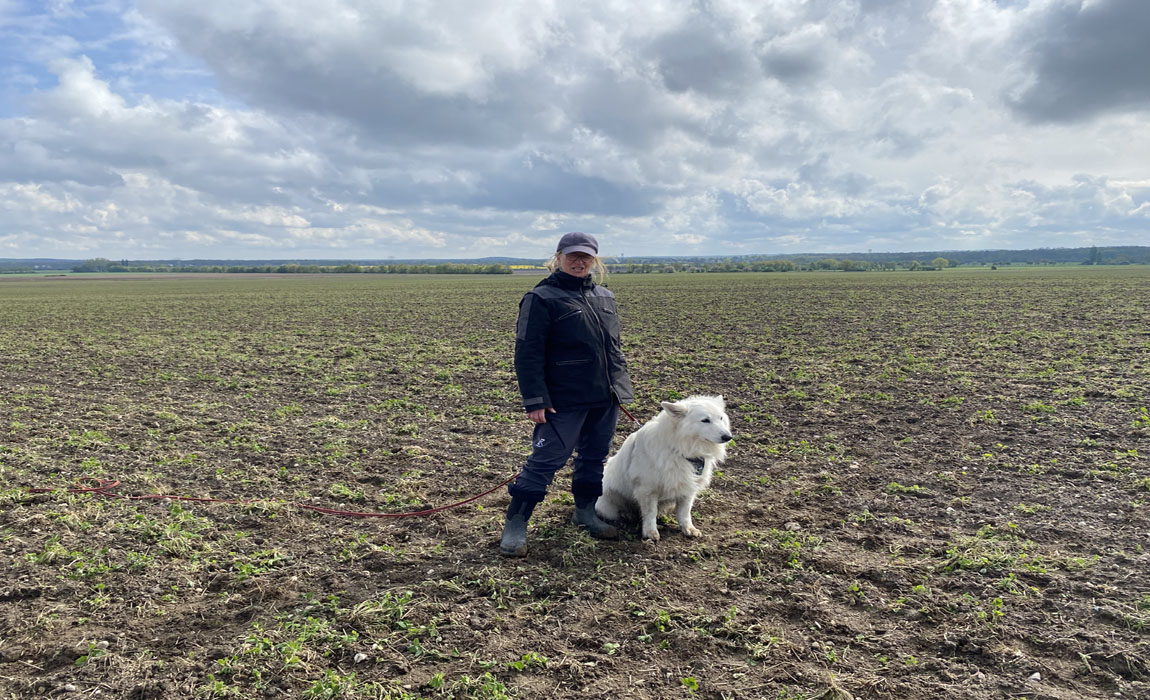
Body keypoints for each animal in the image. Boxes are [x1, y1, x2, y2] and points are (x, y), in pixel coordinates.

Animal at [598, 393, 731, 540]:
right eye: (705, 420)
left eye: (721, 418)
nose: (728, 437)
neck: (680, 449)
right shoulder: (648, 489)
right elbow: (650, 513)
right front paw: (650, 532)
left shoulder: (687, 489)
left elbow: (685, 512)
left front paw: (688, 528)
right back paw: (626, 514)